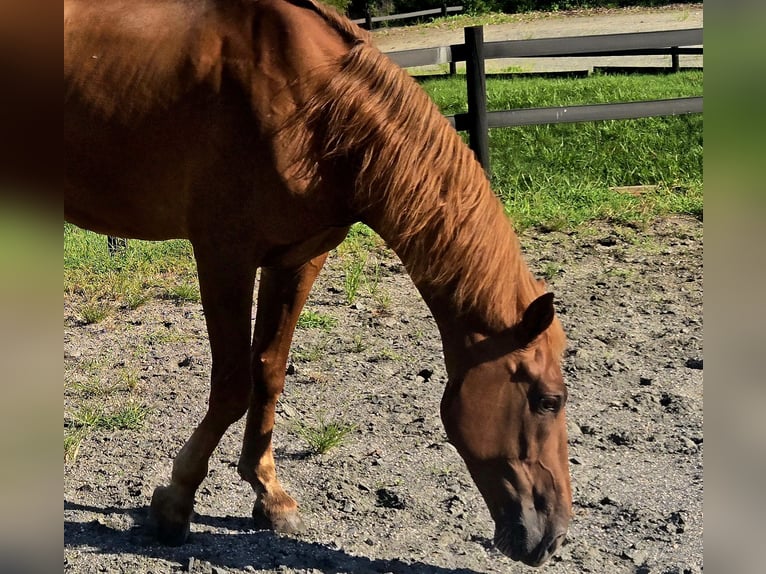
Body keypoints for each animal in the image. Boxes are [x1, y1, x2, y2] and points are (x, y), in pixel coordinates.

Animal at [64, 0, 572, 566]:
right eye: (548, 401)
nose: (552, 538)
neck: (315, 101)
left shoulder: (298, 258)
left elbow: (268, 375)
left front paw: (269, 494)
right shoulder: (225, 255)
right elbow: (232, 386)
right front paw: (175, 502)